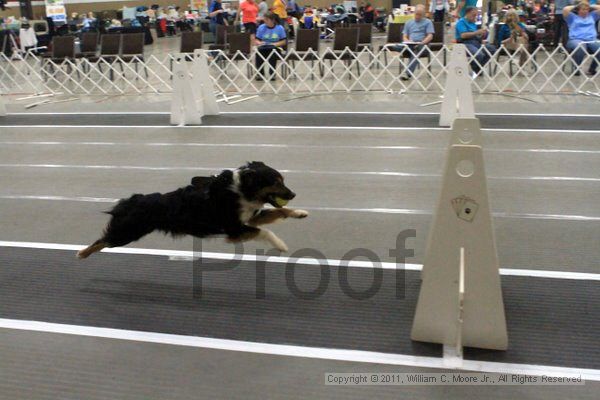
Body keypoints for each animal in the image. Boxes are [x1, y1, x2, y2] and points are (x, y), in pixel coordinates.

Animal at [77, 162, 308, 260]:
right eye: (276, 182)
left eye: (283, 181)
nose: (294, 194)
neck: (241, 189)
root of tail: (133, 200)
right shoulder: (234, 229)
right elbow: (266, 231)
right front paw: (280, 245)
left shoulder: (251, 217)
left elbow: (280, 213)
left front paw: (300, 213)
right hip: (127, 232)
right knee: (103, 240)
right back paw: (82, 254)